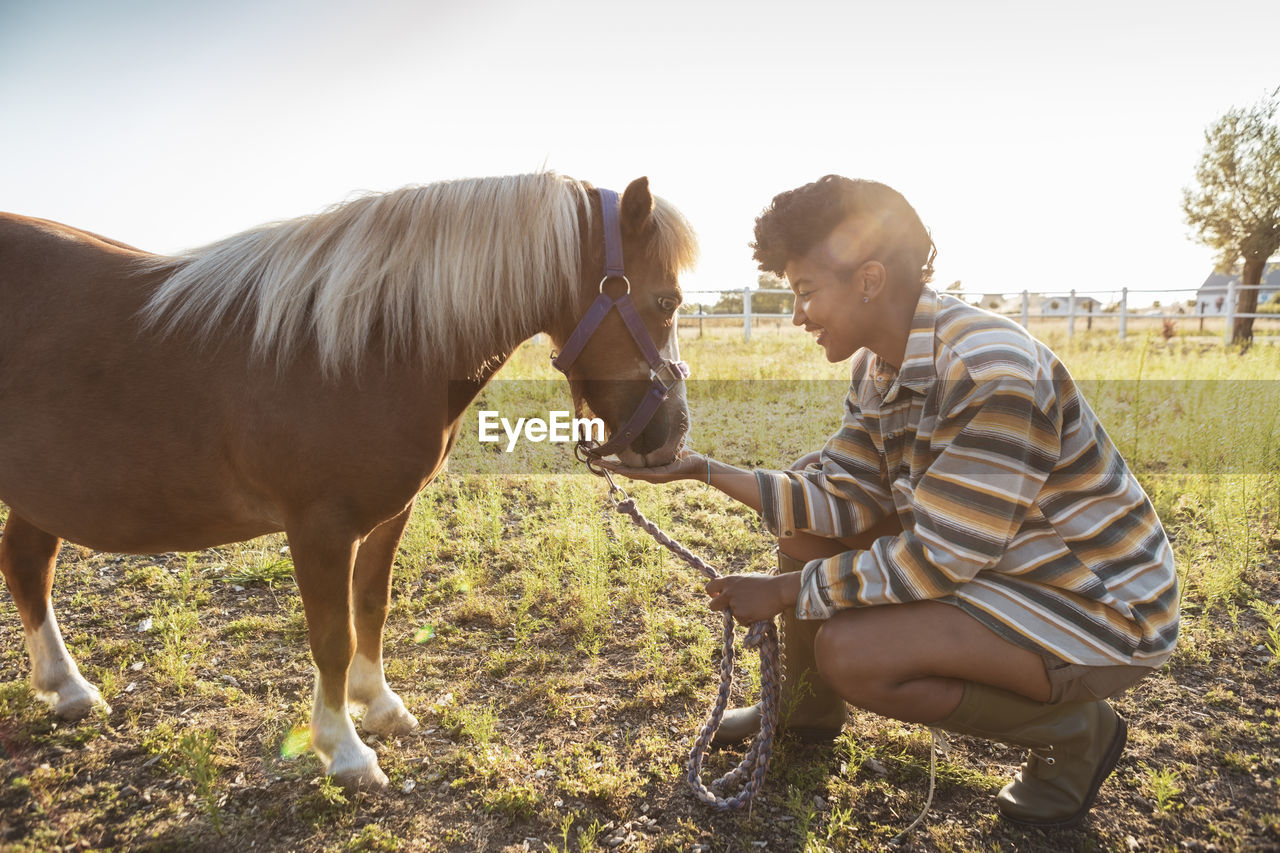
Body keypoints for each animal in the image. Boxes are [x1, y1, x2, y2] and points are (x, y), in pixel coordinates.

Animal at [0, 171, 696, 783]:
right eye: (667, 302)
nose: (671, 437)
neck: (366, 344)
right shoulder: (320, 528)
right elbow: (333, 636)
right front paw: (345, 750)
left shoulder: (389, 516)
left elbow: (372, 607)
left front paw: (379, 704)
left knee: (28, 566)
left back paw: (68, 689)